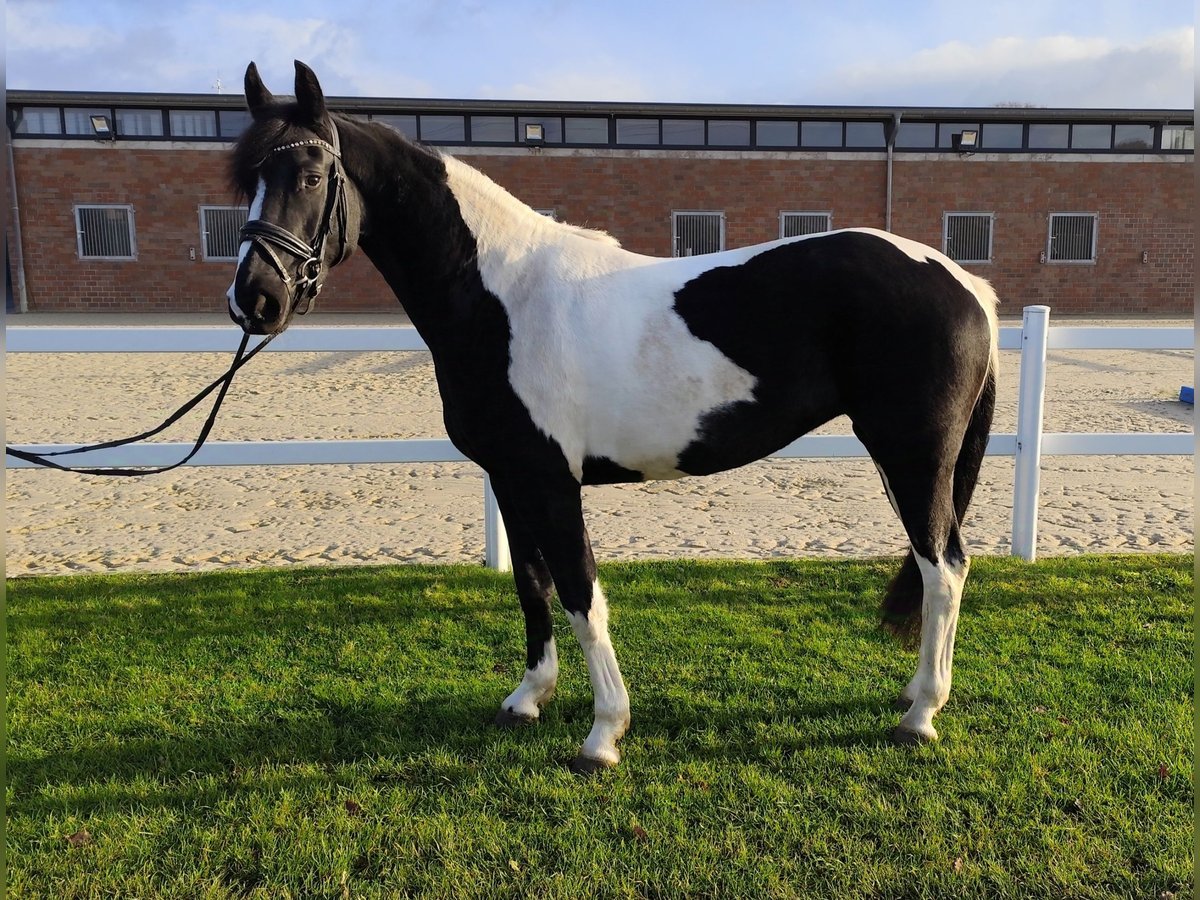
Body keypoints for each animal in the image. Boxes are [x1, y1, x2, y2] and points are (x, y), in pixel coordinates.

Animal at [229, 61, 998, 777]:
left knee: (944, 568)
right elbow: (531, 584)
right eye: (247, 180)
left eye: (309, 175)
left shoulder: (551, 481)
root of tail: (963, 281)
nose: (255, 299)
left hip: (912, 455)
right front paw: (528, 699)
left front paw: (603, 734)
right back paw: (916, 695)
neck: (503, 297)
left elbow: (579, 591)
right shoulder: (511, 478)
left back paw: (921, 715)